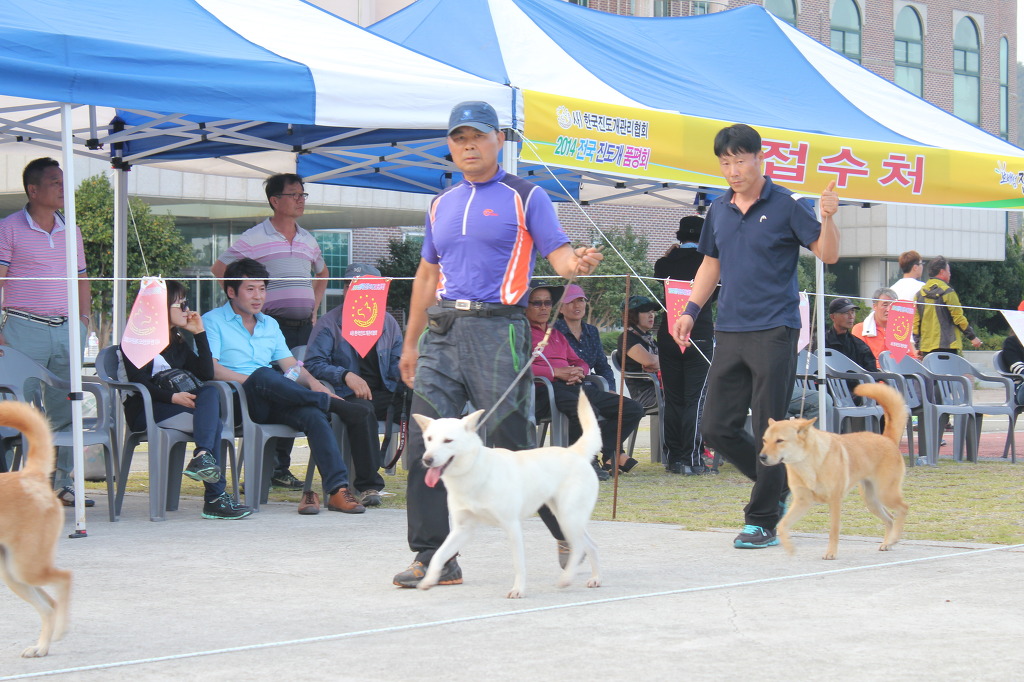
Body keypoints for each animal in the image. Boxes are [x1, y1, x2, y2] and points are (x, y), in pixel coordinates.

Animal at [0, 401, 71, 655]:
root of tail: (30, 474)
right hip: (14, 574)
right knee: (49, 604)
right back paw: (42, 645)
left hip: (26, 567)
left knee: (64, 579)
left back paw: (56, 635)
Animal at [761, 382, 905, 557]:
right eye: (764, 440)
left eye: (780, 441)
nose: (761, 457)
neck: (808, 463)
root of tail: (887, 439)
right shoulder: (802, 501)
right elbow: (783, 525)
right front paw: (789, 548)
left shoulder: (835, 500)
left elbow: (834, 530)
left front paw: (830, 553)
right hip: (872, 500)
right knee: (890, 518)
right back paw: (887, 543)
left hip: (885, 493)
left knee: (903, 508)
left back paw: (894, 539)